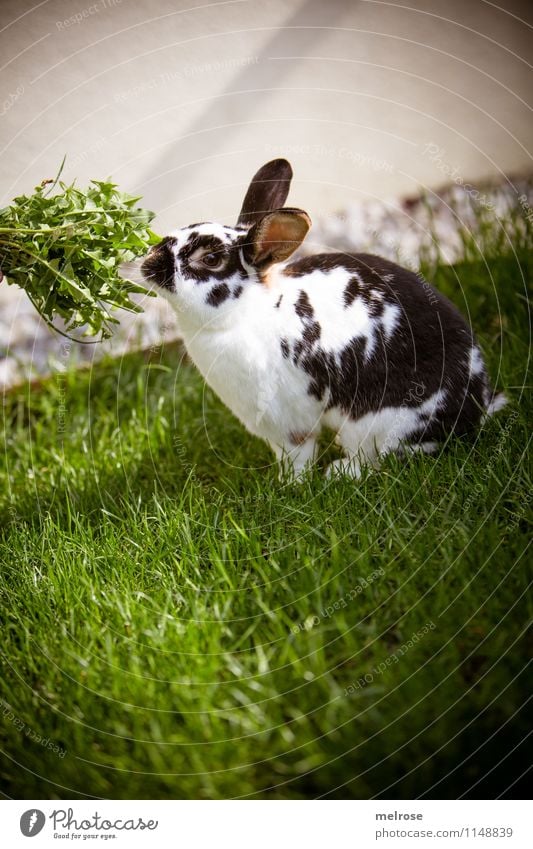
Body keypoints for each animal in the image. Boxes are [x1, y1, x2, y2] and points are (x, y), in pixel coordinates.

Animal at [140, 159, 502, 476]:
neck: (246, 312)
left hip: (372, 424)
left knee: (376, 460)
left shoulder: (288, 422)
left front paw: (289, 486)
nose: (149, 261)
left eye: (210, 259)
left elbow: (298, 456)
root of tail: (475, 408)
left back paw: (339, 473)